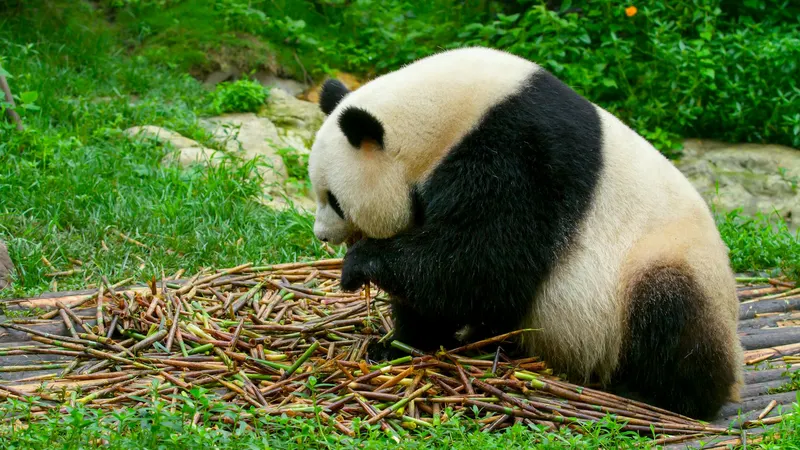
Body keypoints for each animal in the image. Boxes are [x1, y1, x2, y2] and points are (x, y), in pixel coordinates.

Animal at [307, 46, 743, 420]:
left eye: (334, 200)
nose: (321, 235)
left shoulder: (522, 154)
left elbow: (481, 263)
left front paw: (359, 265)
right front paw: (396, 344)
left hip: (666, 265)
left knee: (670, 316)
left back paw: (656, 394)